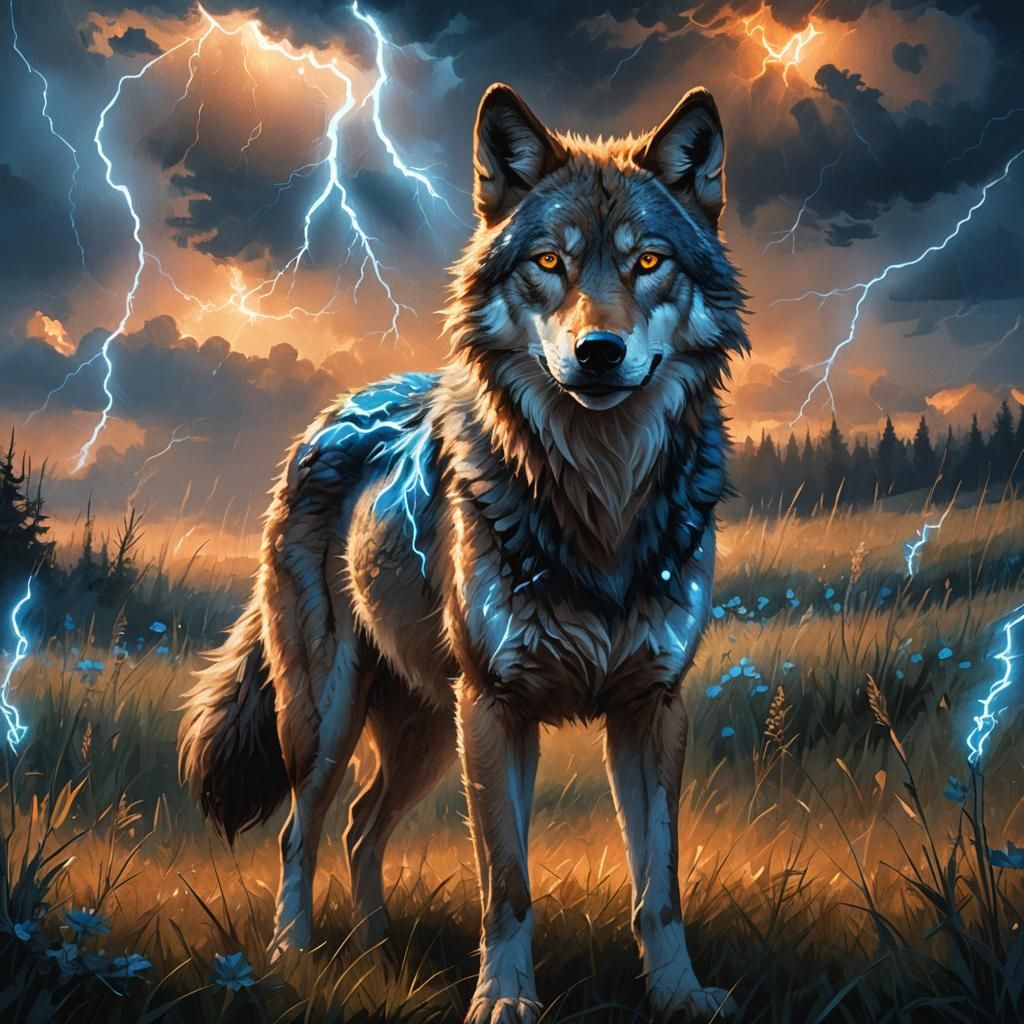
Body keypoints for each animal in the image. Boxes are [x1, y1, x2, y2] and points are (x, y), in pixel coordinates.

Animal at [179, 81, 748, 1023]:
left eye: (648, 262)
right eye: (549, 263)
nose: (599, 352)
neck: (600, 499)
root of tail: (329, 413)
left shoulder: (652, 705)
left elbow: (658, 885)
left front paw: (680, 995)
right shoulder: (494, 707)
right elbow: (507, 884)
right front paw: (505, 1002)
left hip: (424, 733)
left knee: (362, 827)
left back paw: (378, 950)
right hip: (331, 719)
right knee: (303, 829)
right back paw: (296, 957)